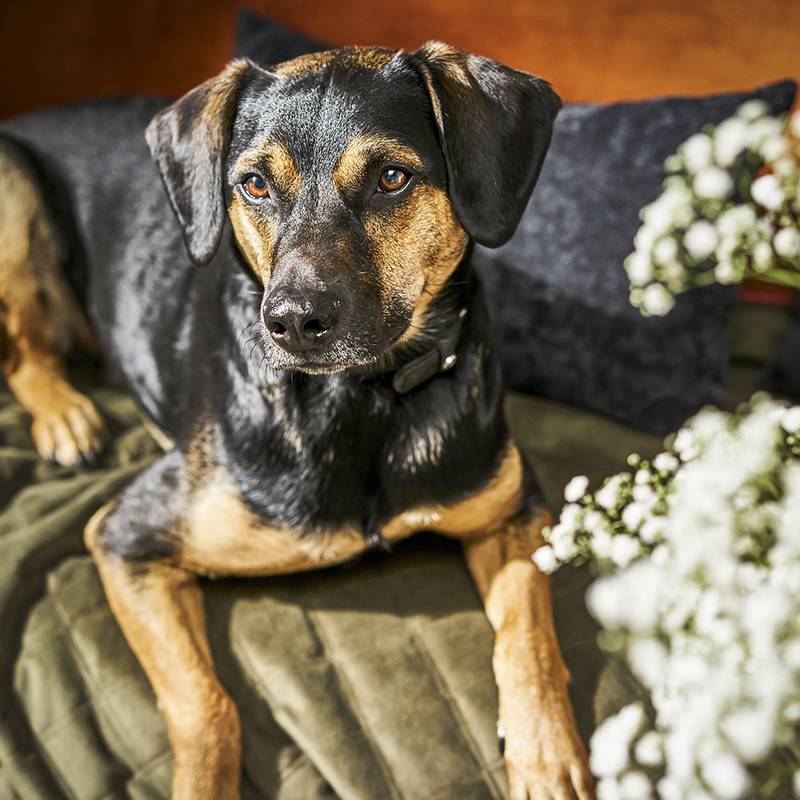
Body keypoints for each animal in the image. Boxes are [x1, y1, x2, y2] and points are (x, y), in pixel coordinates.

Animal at [0, 43, 593, 799]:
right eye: (254, 185)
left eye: (392, 178)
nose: (292, 322)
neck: (362, 400)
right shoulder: (126, 537)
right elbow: (205, 705)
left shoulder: (513, 510)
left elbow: (529, 640)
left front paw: (547, 756)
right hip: (13, 197)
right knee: (24, 351)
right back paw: (67, 417)